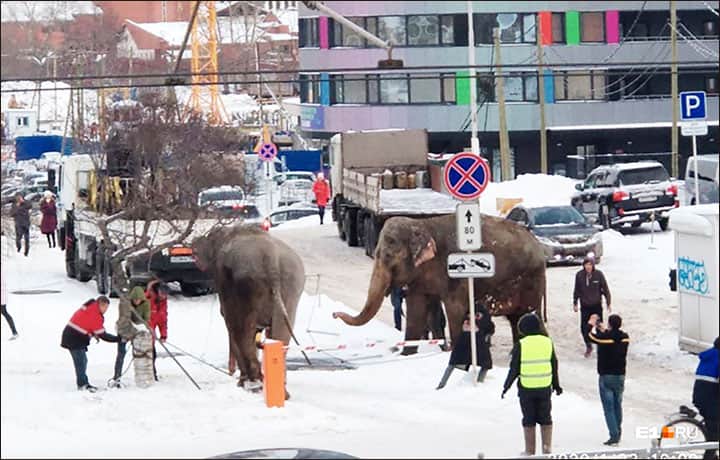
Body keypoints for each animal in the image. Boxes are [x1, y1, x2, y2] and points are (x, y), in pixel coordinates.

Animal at [192, 224, 305, 397]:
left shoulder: (224, 283)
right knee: (279, 334)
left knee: (241, 328)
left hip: (247, 285)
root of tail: (270, 257)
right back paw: (281, 392)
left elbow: (229, 321)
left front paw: (241, 383)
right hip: (292, 284)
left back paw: (253, 385)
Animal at [333, 214, 546, 350]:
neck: (422, 224)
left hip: (530, 280)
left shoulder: (453, 273)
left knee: (527, 316)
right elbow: (416, 310)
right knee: (517, 320)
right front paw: (406, 354)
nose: (334, 314)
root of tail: (539, 246)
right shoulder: (419, 278)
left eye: (388, 257)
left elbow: (455, 310)